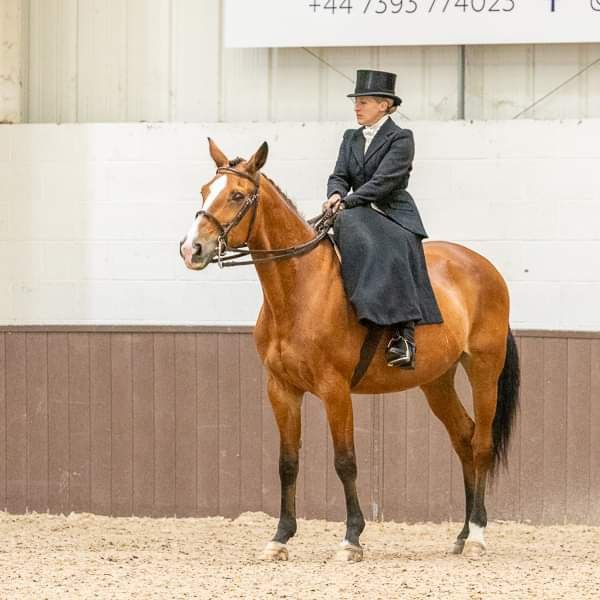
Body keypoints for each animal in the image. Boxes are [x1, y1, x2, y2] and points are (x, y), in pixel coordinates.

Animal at [179, 139, 520, 564]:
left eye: (238, 195)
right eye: (204, 190)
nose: (191, 249)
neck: (299, 288)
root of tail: (483, 266)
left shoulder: (335, 390)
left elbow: (345, 462)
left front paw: (351, 539)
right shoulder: (281, 390)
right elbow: (287, 463)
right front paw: (280, 538)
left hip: (484, 370)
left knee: (482, 443)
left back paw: (477, 535)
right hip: (437, 381)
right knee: (464, 439)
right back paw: (461, 534)